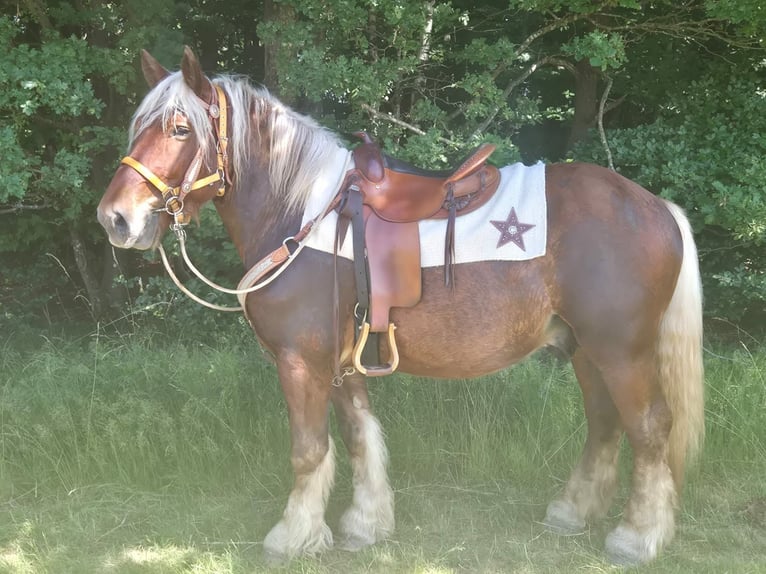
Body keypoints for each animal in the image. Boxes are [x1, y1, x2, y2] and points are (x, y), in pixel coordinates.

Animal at [97, 47, 704, 566]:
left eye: (180, 128)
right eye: (139, 126)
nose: (115, 218)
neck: (301, 213)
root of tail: (656, 206)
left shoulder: (300, 362)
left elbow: (308, 450)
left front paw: (292, 537)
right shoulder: (339, 364)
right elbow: (359, 437)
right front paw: (364, 525)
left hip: (621, 350)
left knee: (650, 426)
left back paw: (637, 537)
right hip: (585, 348)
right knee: (605, 421)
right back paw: (573, 512)